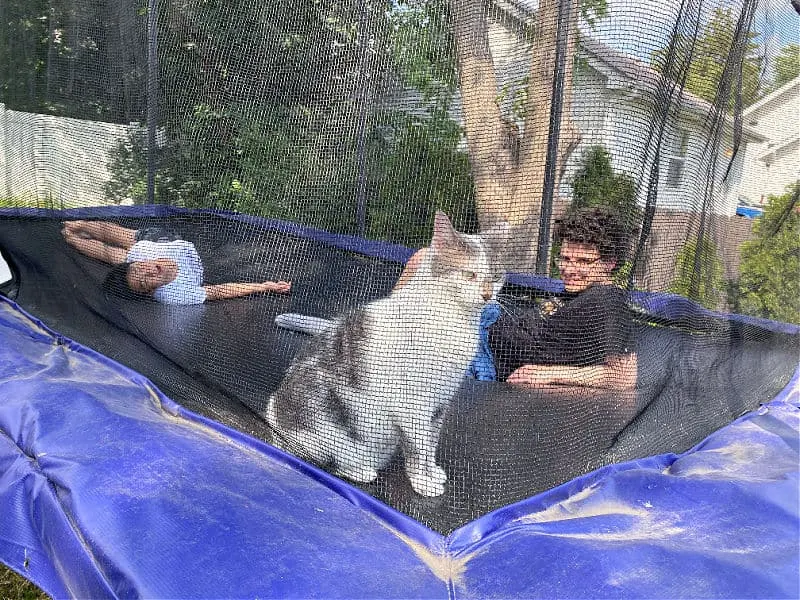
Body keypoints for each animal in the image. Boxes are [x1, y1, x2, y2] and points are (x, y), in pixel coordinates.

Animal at [268, 211, 506, 496]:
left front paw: (432, 472)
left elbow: (430, 443)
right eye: (469, 274)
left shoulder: (439, 402)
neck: (454, 319)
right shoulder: (412, 404)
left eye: (496, 276)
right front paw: (423, 481)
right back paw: (360, 470)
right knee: (323, 462)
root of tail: (273, 426)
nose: (487, 295)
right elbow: (418, 448)